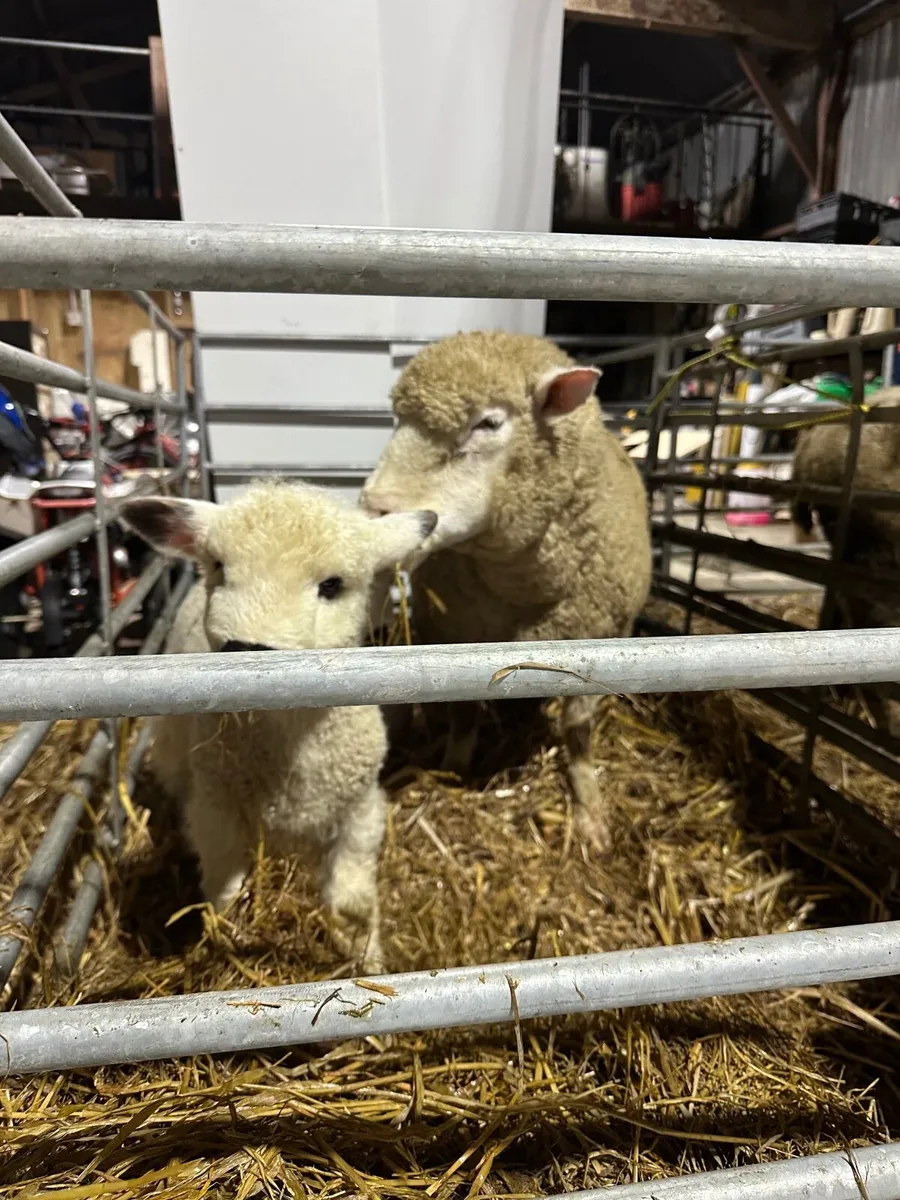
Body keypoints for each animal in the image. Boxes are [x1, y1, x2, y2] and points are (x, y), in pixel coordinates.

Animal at [121, 481, 436, 971]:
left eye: (332, 585)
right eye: (219, 567)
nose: (244, 648)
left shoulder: (361, 810)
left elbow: (352, 903)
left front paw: (367, 960)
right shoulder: (214, 811)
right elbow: (224, 892)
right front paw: (229, 939)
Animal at [360, 330, 652, 854]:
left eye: (488, 423)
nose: (372, 509)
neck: (523, 586)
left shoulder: (600, 638)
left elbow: (578, 730)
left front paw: (589, 809)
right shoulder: (453, 634)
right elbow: (463, 715)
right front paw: (453, 767)